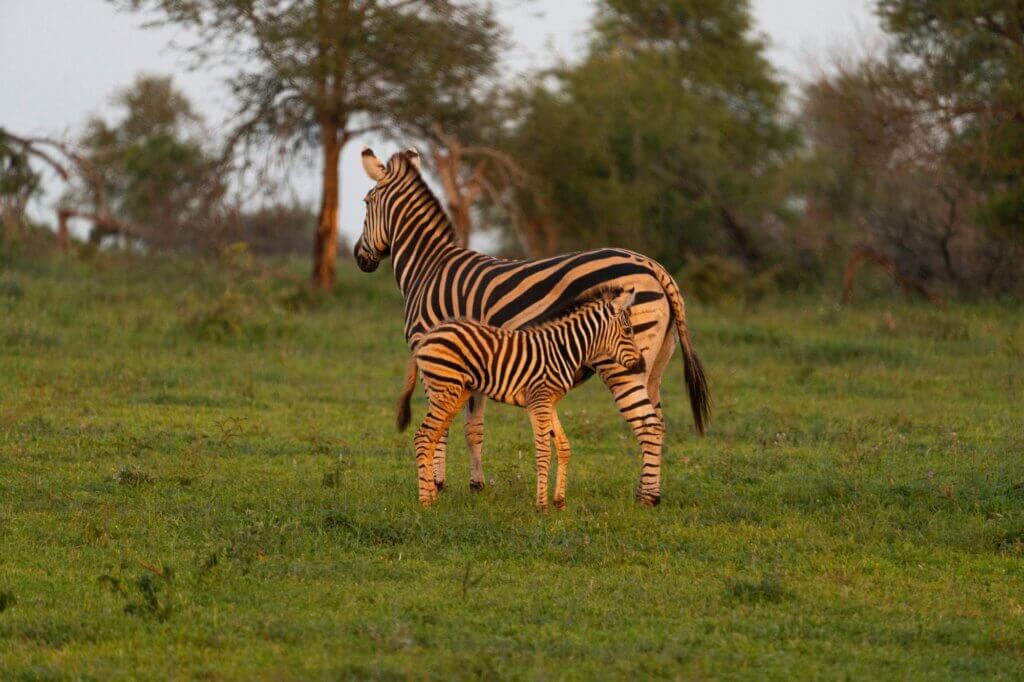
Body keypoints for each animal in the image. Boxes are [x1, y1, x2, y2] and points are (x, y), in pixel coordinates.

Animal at [397, 286, 645, 509]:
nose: (642, 365)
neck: (563, 349)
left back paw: (432, 497)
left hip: (455, 394)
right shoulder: (539, 401)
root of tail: (428, 336)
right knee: (424, 437)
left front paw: (559, 501)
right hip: (445, 390)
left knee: (433, 437)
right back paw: (425, 502)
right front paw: (542, 506)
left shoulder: (550, 402)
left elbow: (563, 446)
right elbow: (544, 451)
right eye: (628, 330)